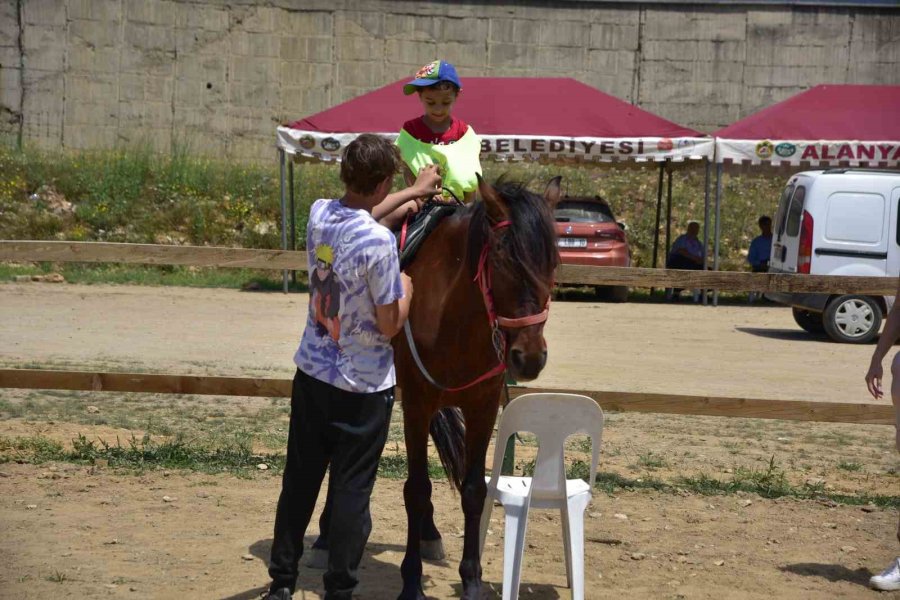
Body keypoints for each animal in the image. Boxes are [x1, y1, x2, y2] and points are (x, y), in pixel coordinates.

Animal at [396, 176, 560, 596]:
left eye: (553, 262)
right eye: (503, 259)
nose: (529, 357)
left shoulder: (482, 406)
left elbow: (473, 491)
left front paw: (471, 579)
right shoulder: (416, 402)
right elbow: (416, 489)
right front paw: (411, 581)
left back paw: (431, 535)